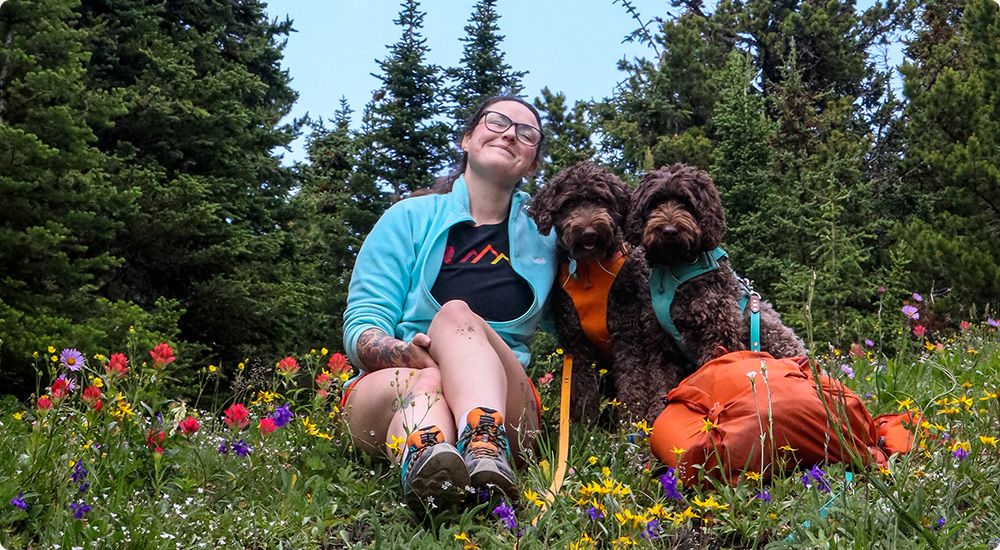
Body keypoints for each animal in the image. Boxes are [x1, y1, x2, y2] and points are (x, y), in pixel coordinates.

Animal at [532, 162, 632, 424]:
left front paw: (633, 425)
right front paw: (586, 425)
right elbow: (584, 389)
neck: (589, 268)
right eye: (568, 204)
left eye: (600, 199)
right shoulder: (576, 343)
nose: (589, 233)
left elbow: (634, 382)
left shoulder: (628, 334)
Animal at [616, 164, 804, 422]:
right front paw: (654, 421)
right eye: (655, 202)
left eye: (686, 202)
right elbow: (659, 384)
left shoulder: (717, 334)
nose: (669, 230)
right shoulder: (661, 346)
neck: (676, 268)